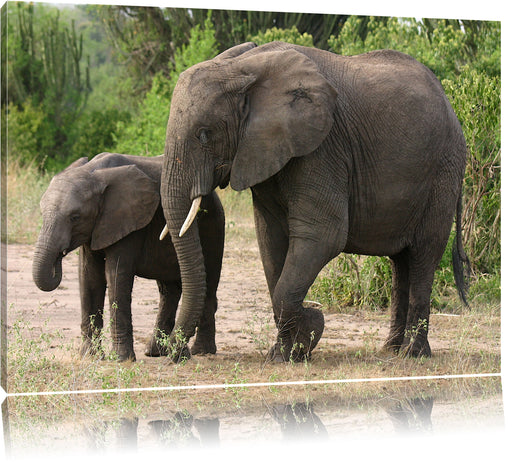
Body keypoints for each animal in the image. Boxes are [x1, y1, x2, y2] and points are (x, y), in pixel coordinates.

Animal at [32, 152, 224, 360]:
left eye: (75, 217)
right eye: (41, 213)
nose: (59, 256)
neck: (94, 172)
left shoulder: (130, 222)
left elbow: (116, 275)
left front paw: (121, 359)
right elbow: (89, 277)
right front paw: (90, 357)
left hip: (213, 227)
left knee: (208, 284)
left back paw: (201, 352)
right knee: (168, 291)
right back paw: (156, 352)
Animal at [159, 41, 468, 362]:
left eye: (204, 135)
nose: (176, 354)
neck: (243, 68)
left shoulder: (323, 148)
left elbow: (323, 236)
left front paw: (309, 332)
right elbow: (270, 241)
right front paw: (285, 353)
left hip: (443, 172)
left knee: (423, 255)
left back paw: (413, 353)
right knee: (401, 262)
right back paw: (391, 348)